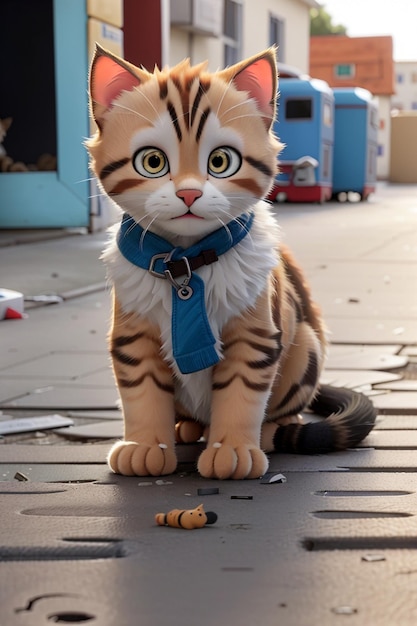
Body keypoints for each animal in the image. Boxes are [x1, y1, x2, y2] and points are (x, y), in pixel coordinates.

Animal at [86, 46, 376, 480]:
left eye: (221, 161)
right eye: (152, 162)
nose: (189, 193)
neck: (186, 260)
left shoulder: (255, 335)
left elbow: (241, 395)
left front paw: (234, 451)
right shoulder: (132, 336)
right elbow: (142, 394)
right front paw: (145, 446)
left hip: (305, 346)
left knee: (284, 407)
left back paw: (272, 431)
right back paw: (186, 427)